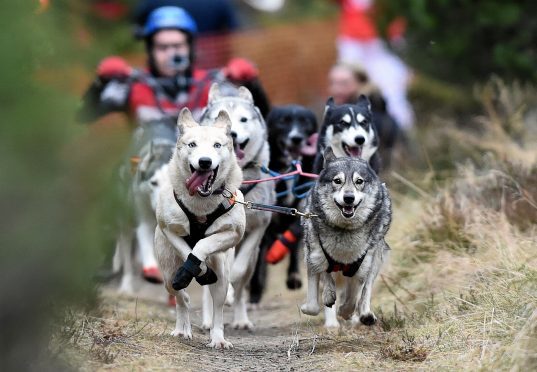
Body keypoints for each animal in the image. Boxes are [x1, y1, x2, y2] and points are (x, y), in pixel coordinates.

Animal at [153, 107, 245, 348]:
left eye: (217, 145)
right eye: (192, 144)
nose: (205, 161)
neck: (201, 205)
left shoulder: (233, 233)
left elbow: (202, 244)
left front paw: (200, 266)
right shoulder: (169, 228)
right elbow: (188, 250)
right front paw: (196, 268)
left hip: (223, 275)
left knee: (218, 306)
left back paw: (218, 338)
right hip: (167, 273)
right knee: (181, 298)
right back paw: (182, 329)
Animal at [199, 84, 274, 328]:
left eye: (243, 119)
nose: (231, 134)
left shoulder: (258, 228)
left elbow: (237, 272)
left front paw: (231, 289)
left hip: (254, 260)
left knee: (242, 285)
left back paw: (241, 318)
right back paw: (208, 319)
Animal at [302, 148, 390, 328]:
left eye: (359, 181)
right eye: (337, 181)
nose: (349, 198)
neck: (344, 230)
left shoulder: (361, 268)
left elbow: (354, 296)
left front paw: (346, 312)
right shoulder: (315, 256)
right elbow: (316, 299)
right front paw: (327, 296)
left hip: (376, 259)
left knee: (365, 291)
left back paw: (364, 315)